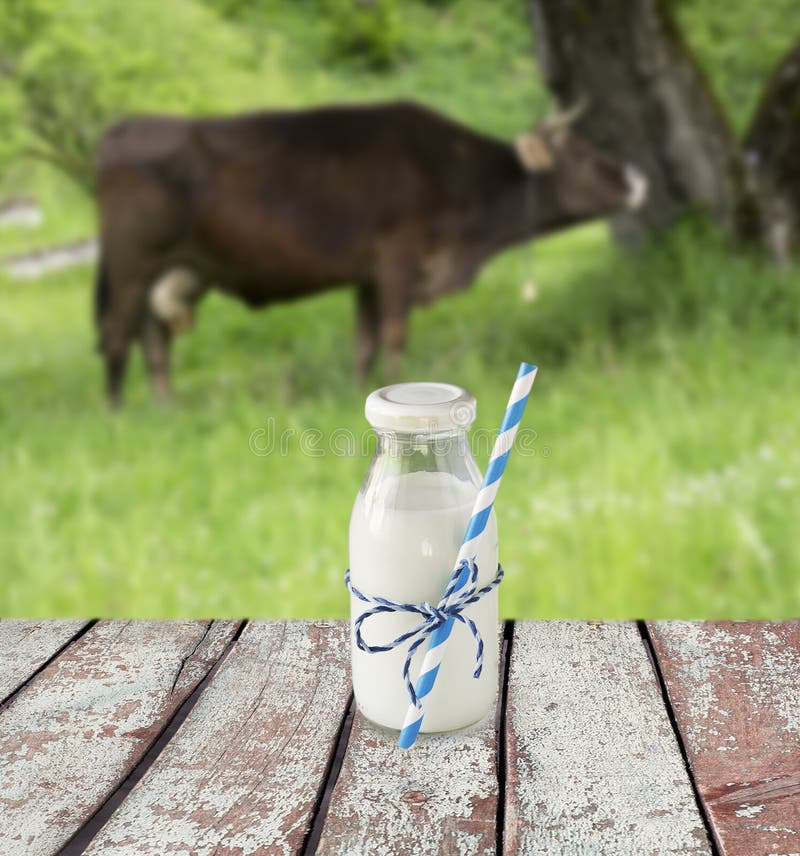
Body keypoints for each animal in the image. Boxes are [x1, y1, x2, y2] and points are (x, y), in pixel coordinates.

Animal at [95, 100, 647, 406]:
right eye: (583, 155)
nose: (640, 179)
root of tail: (122, 128)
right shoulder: (398, 255)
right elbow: (395, 334)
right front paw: (400, 387)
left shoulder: (367, 274)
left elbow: (365, 342)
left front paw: (358, 390)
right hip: (129, 264)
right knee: (119, 336)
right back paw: (118, 413)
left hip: (169, 269)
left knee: (154, 338)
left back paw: (167, 405)